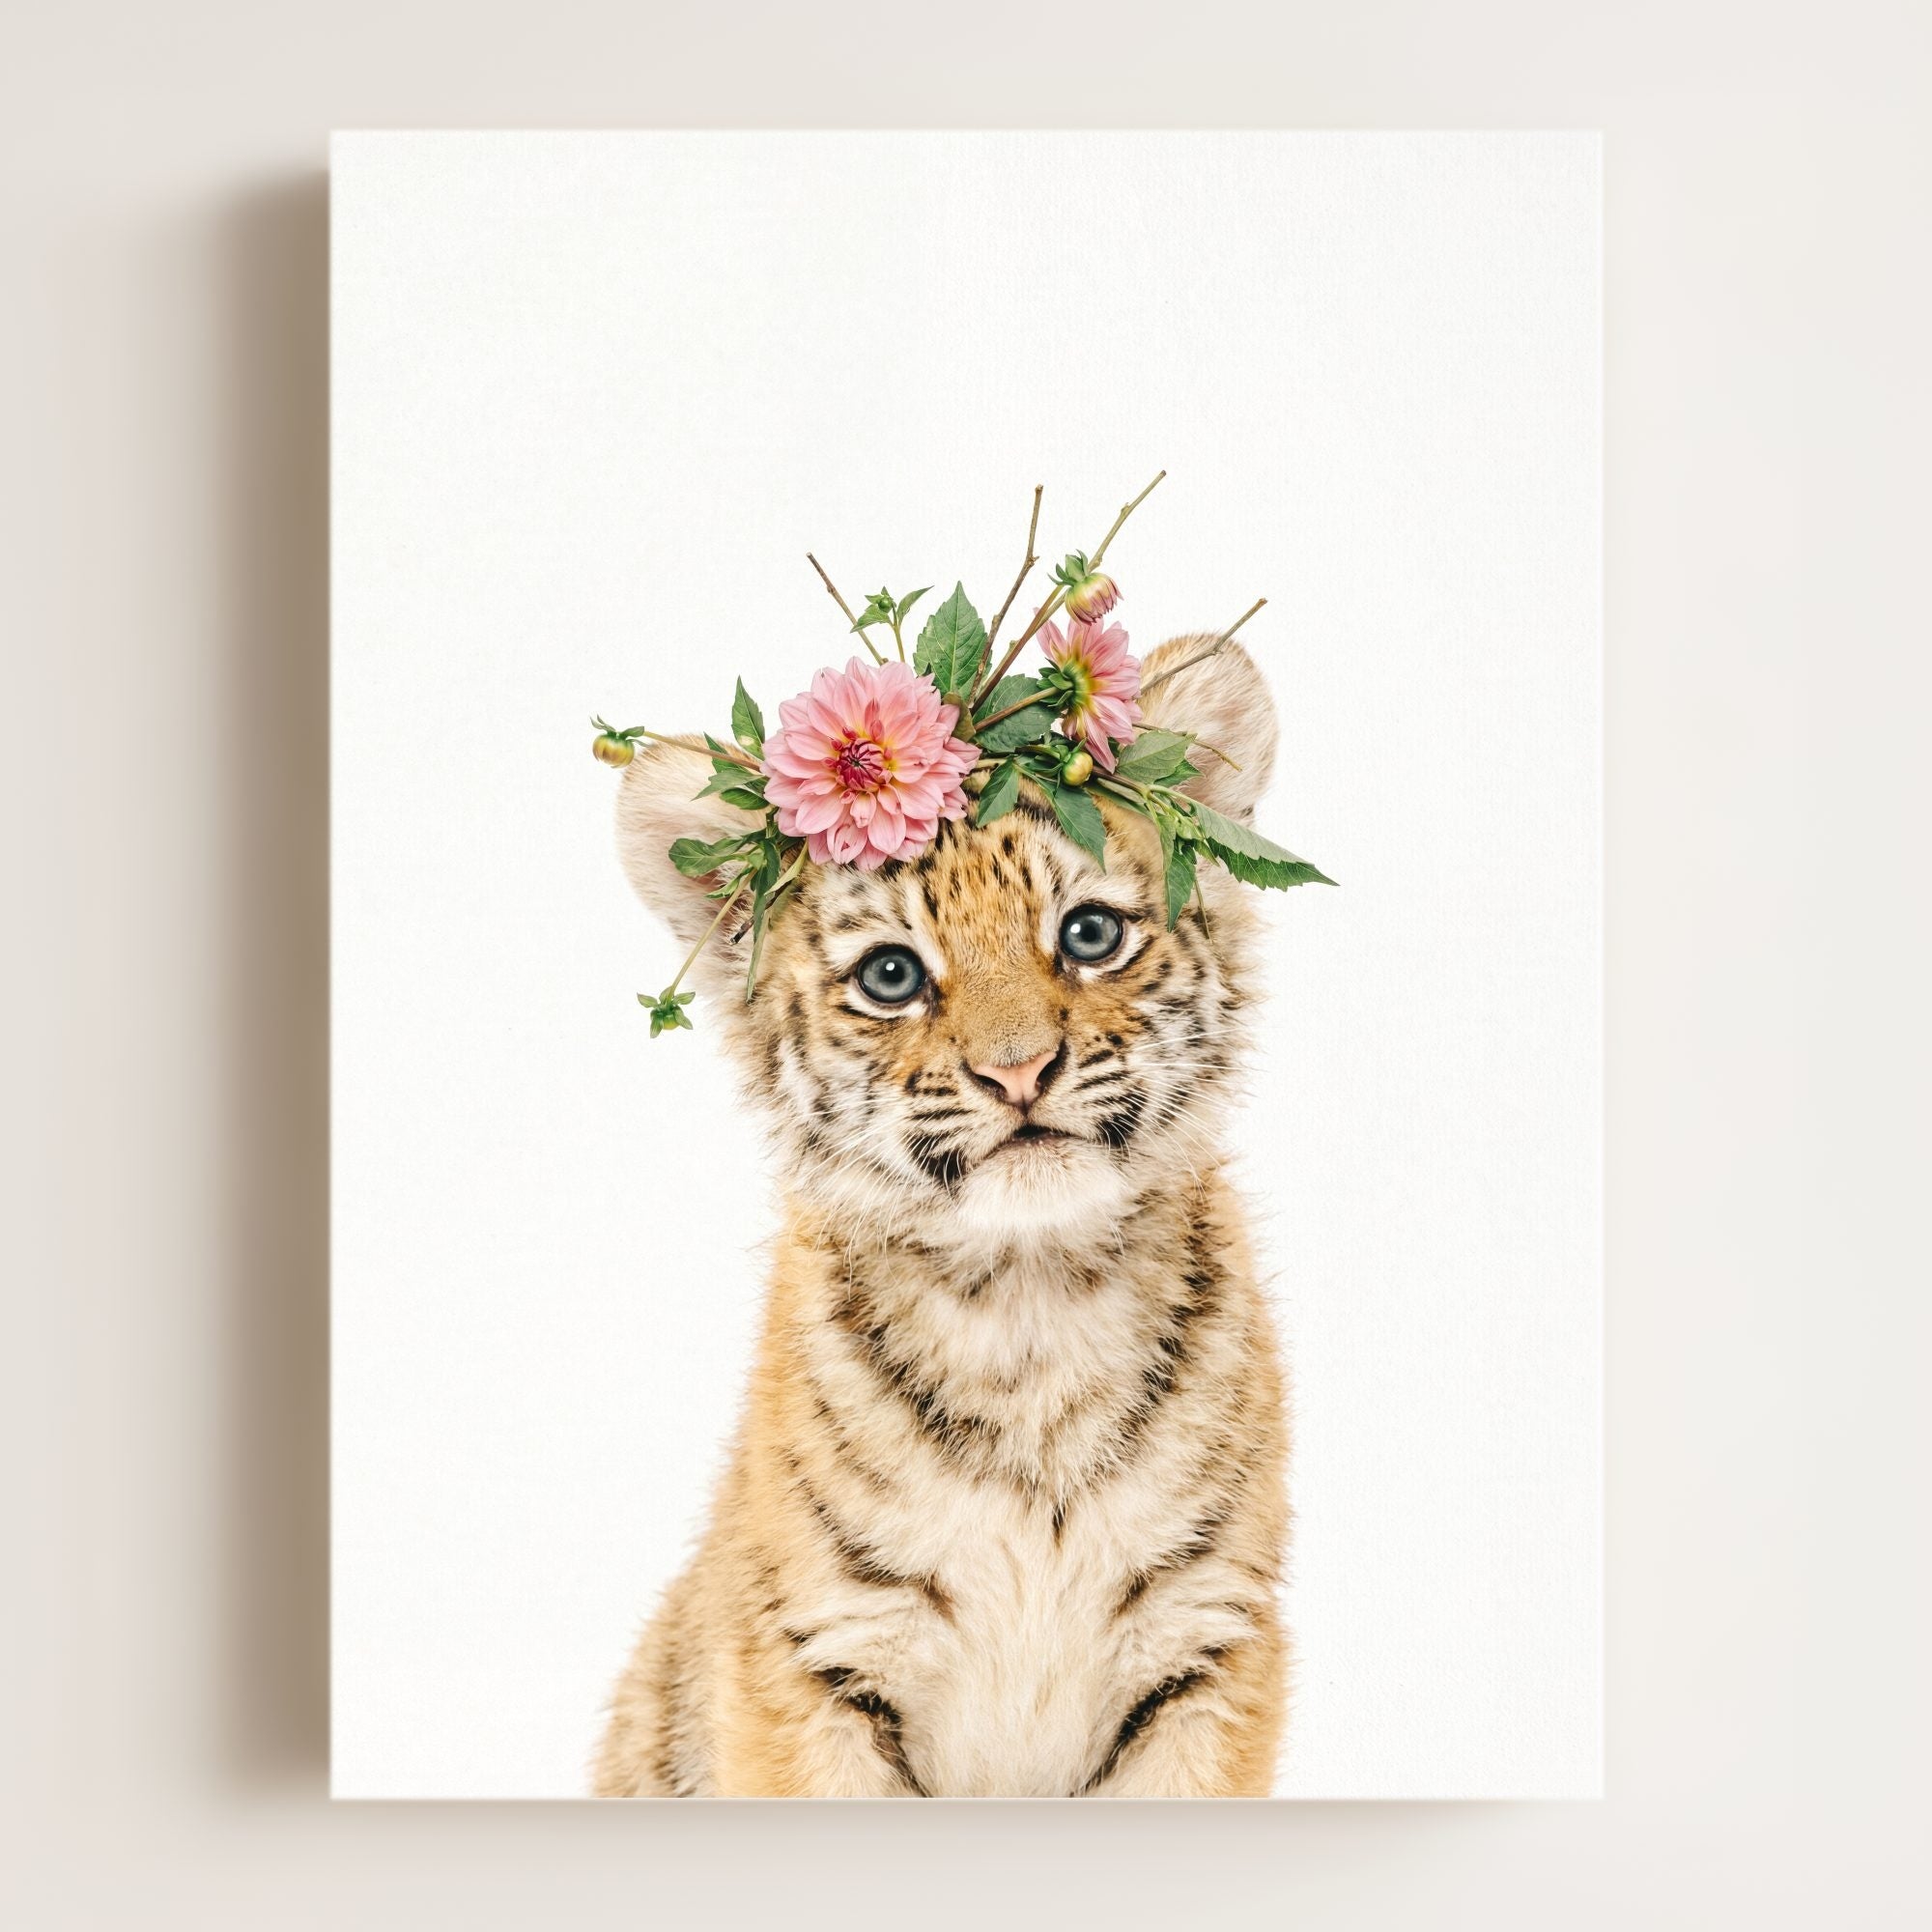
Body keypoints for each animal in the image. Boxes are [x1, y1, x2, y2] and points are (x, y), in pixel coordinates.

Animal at [592, 634, 1292, 1798]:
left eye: (1089, 932)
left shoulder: (1205, 1646)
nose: (1018, 1071)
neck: (1030, 1303)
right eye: (891, 975)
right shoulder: (814, 1658)